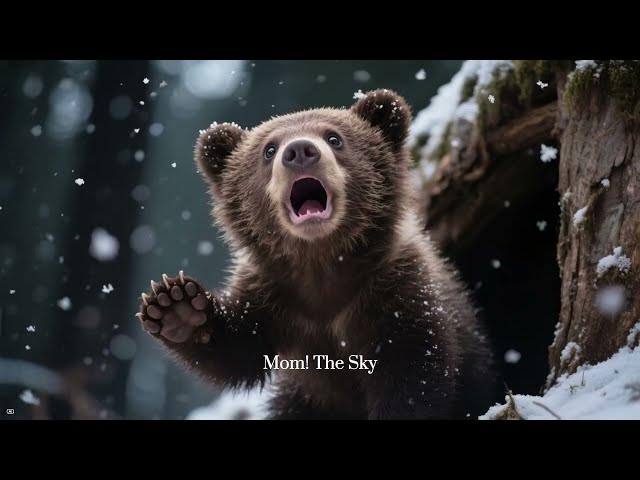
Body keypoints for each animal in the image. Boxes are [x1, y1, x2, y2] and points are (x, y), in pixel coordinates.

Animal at [136, 89, 494, 419]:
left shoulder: (396, 293)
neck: (322, 265)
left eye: (334, 138)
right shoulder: (278, 304)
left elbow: (412, 375)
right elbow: (238, 352)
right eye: (269, 149)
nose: (299, 151)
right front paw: (176, 307)